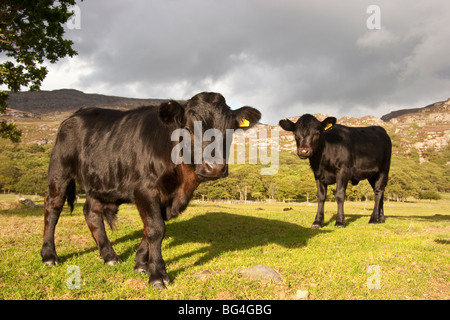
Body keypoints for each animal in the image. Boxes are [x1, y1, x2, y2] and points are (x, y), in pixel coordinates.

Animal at [42, 92, 262, 288]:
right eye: (188, 129)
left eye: (230, 130)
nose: (215, 167)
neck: (181, 183)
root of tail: (77, 113)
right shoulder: (145, 189)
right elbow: (156, 229)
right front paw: (157, 274)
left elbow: (150, 229)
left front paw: (141, 263)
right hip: (59, 171)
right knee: (53, 207)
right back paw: (49, 255)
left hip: (100, 182)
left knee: (92, 213)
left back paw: (109, 255)